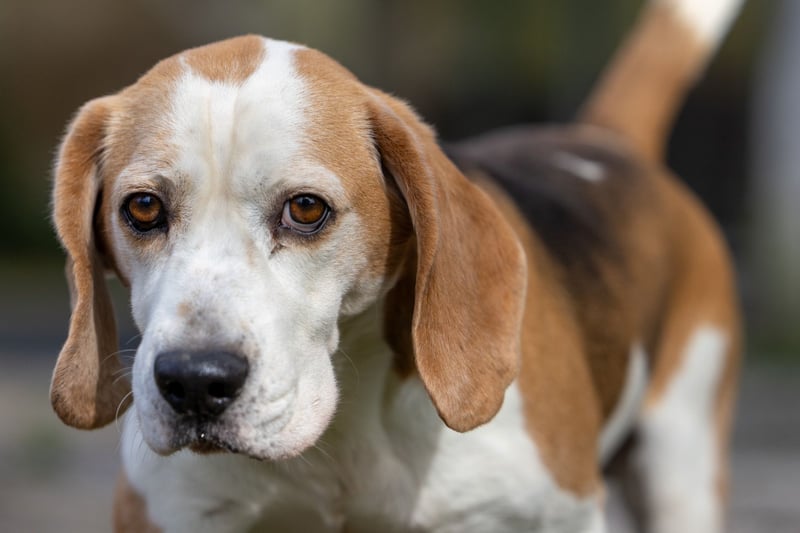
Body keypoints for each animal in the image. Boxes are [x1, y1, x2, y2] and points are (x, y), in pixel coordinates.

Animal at [50, 0, 743, 531]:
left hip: (681, 462)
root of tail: (602, 142)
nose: (194, 381)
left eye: (306, 209)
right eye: (143, 208)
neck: (341, 441)